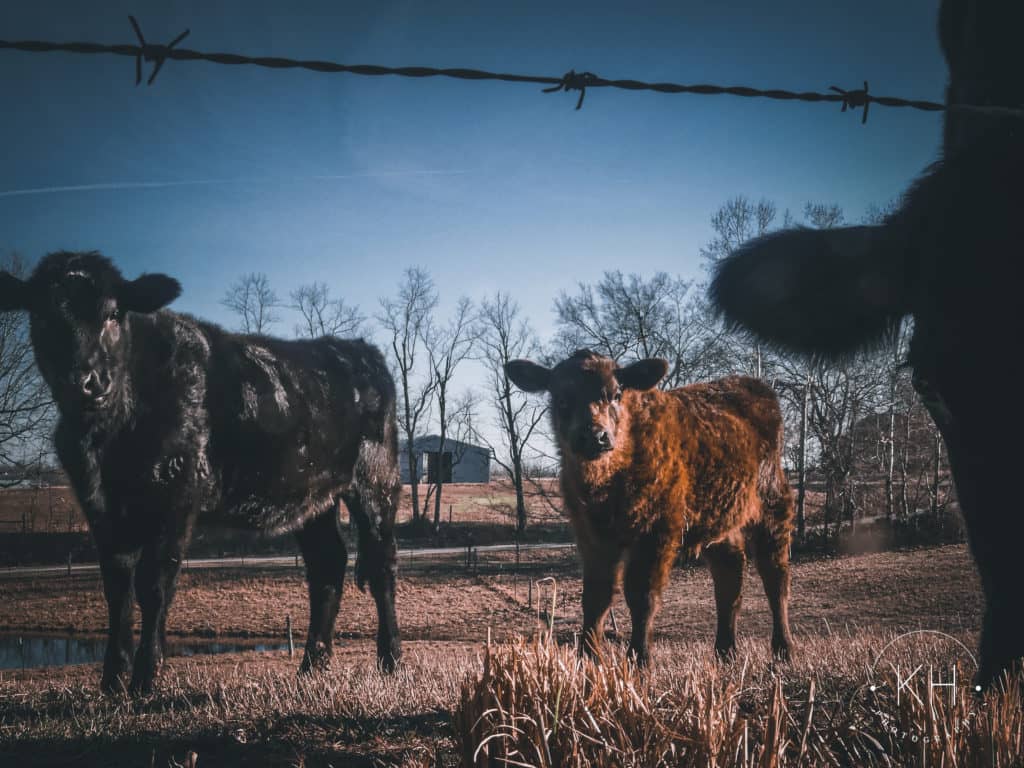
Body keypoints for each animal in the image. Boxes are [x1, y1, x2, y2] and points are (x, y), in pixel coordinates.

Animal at [0, 251, 402, 694]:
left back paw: (390, 659)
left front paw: (144, 679)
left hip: (376, 482)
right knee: (327, 564)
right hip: (314, 496)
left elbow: (154, 583)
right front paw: (112, 681)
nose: (86, 382)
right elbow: (117, 589)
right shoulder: (100, 505)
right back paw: (312, 666)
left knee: (382, 565)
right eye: (41, 316)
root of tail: (359, 350)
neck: (108, 435)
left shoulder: (176, 495)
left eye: (113, 313)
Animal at [505, 350, 794, 665]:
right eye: (560, 398)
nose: (594, 436)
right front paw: (588, 659)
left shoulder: (656, 532)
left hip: (772, 507)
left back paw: (783, 650)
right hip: (719, 520)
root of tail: (754, 386)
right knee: (729, 577)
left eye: (617, 393)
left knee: (775, 577)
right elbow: (596, 596)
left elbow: (642, 596)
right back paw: (725, 652)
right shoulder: (591, 537)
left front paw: (640, 659)